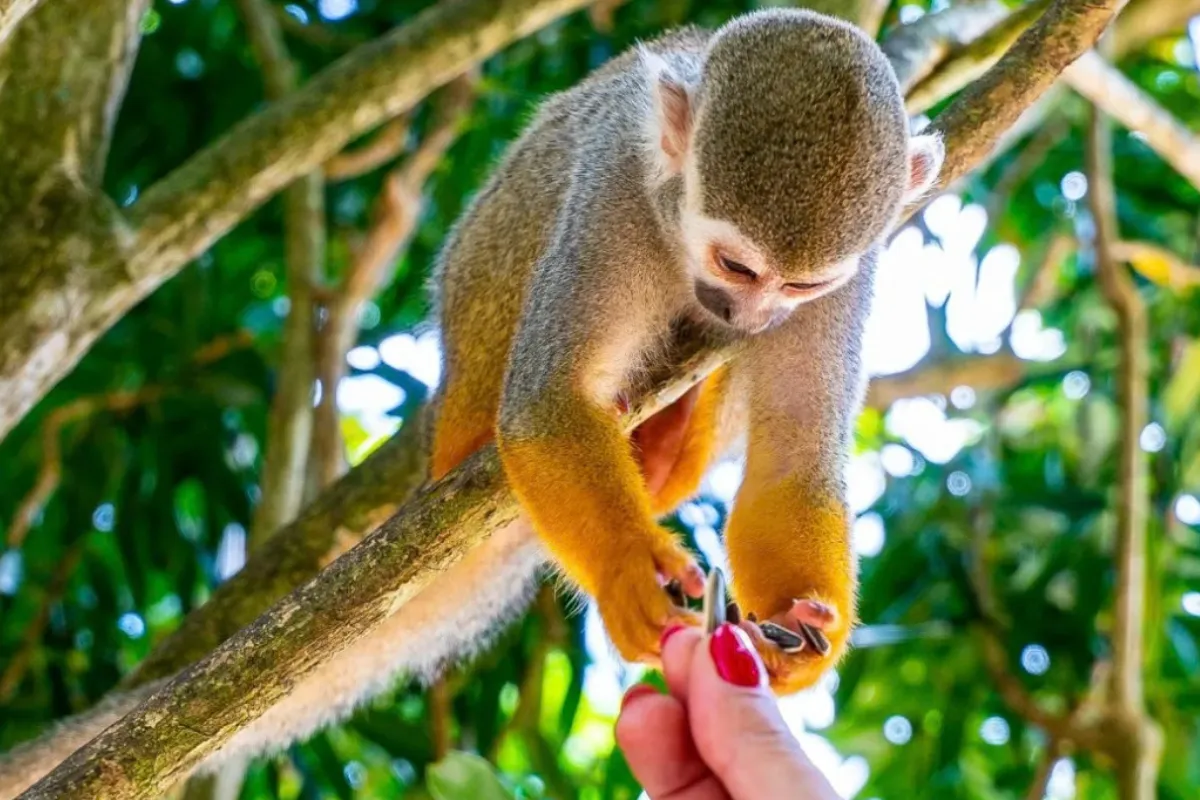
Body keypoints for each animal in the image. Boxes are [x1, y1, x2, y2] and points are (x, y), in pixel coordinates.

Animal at [0, 9, 940, 796]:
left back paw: (673, 440)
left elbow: (794, 459)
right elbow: (547, 404)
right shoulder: (614, 192)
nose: (749, 313)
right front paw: (630, 569)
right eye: (737, 265)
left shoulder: (854, 272)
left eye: (803, 284)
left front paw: (798, 636)